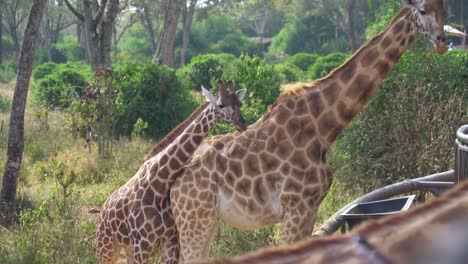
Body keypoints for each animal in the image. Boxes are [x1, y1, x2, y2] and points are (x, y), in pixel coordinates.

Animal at [170, 0, 448, 260]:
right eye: (422, 10)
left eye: (445, 10)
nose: (441, 43)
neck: (322, 128)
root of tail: (172, 180)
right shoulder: (295, 207)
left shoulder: (310, 209)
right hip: (195, 218)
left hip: (205, 220)